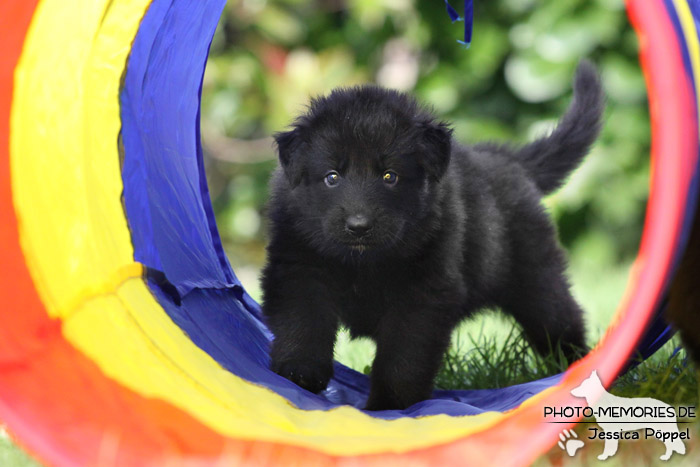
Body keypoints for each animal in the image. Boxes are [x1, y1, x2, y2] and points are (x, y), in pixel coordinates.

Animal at [260, 60, 604, 412]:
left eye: (390, 176)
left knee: (561, 319)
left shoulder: (423, 295)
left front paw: (389, 406)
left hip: (537, 280)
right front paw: (299, 374)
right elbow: (303, 322)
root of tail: (507, 160)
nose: (359, 225)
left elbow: (403, 359)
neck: (363, 262)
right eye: (332, 177)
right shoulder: (298, 269)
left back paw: (577, 363)